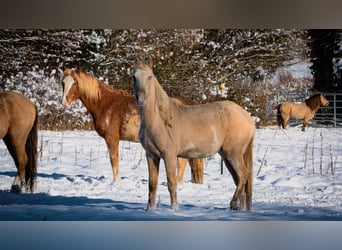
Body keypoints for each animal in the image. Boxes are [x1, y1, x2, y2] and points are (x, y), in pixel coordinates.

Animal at [60, 67, 203, 185]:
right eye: (63, 83)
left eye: (75, 83)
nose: (64, 103)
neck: (106, 104)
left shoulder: (112, 139)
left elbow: (114, 160)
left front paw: (116, 182)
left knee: (182, 163)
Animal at [132, 58, 255, 211]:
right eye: (134, 77)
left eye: (150, 77)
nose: (140, 99)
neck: (160, 119)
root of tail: (246, 117)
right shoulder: (151, 155)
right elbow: (152, 185)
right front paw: (150, 210)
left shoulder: (169, 155)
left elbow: (171, 183)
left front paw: (174, 209)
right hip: (227, 156)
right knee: (238, 179)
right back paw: (239, 208)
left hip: (234, 154)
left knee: (243, 175)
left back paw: (233, 204)